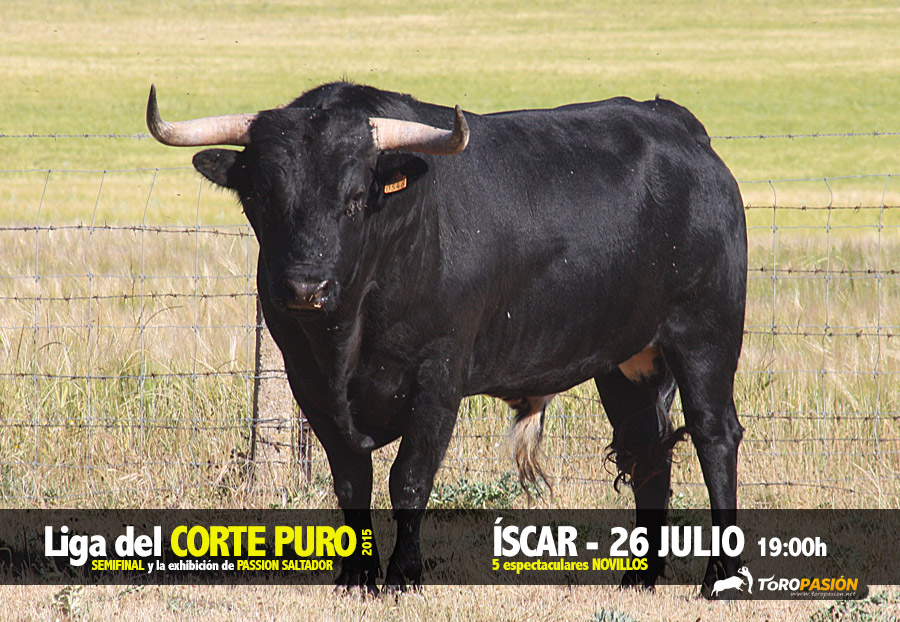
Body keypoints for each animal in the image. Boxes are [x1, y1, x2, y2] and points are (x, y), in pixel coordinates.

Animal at [146, 81, 747, 597]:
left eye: (355, 197)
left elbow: (409, 478)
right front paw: (356, 575)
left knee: (714, 436)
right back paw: (640, 579)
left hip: (705, 334)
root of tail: (677, 125)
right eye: (261, 197)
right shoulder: (308, 380)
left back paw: (721, 576)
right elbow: (352, 481)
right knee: (647, 450)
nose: (306, 287)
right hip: (627, 359)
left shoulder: (438, 374)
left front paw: (403, 575)